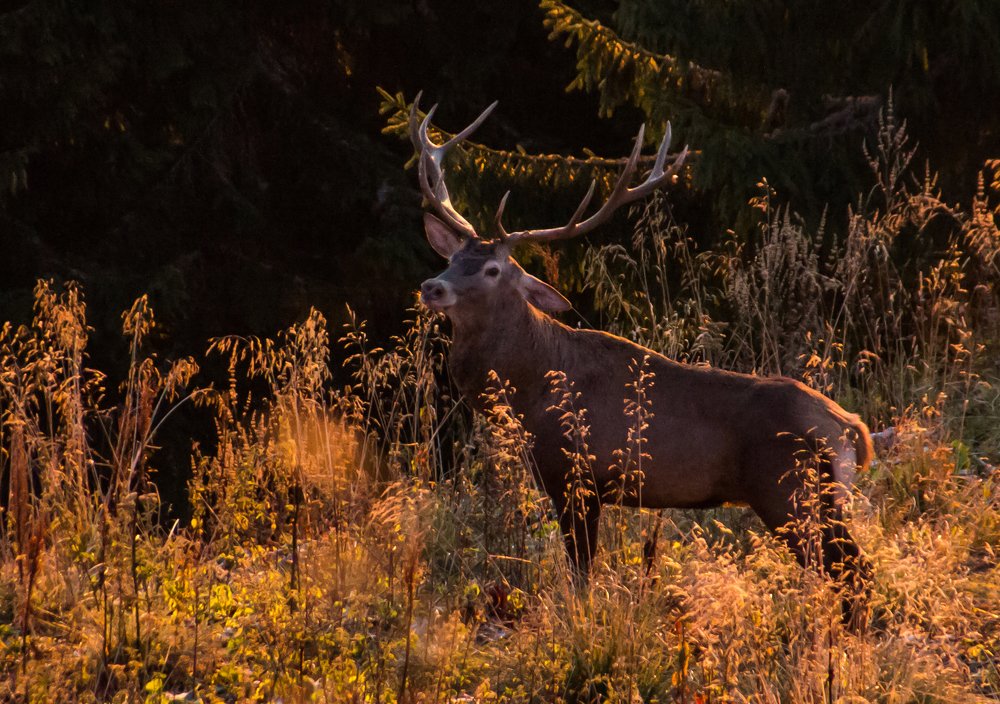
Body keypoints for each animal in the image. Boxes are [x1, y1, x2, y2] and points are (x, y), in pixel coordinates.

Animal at [408, 95, 874, 627]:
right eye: (451, 259)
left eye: (491, 269)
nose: (432, 286)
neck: (531, 392)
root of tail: (850, 428)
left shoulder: (577, 473)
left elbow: (581, 576)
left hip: (789, 489)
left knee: (850, 573)